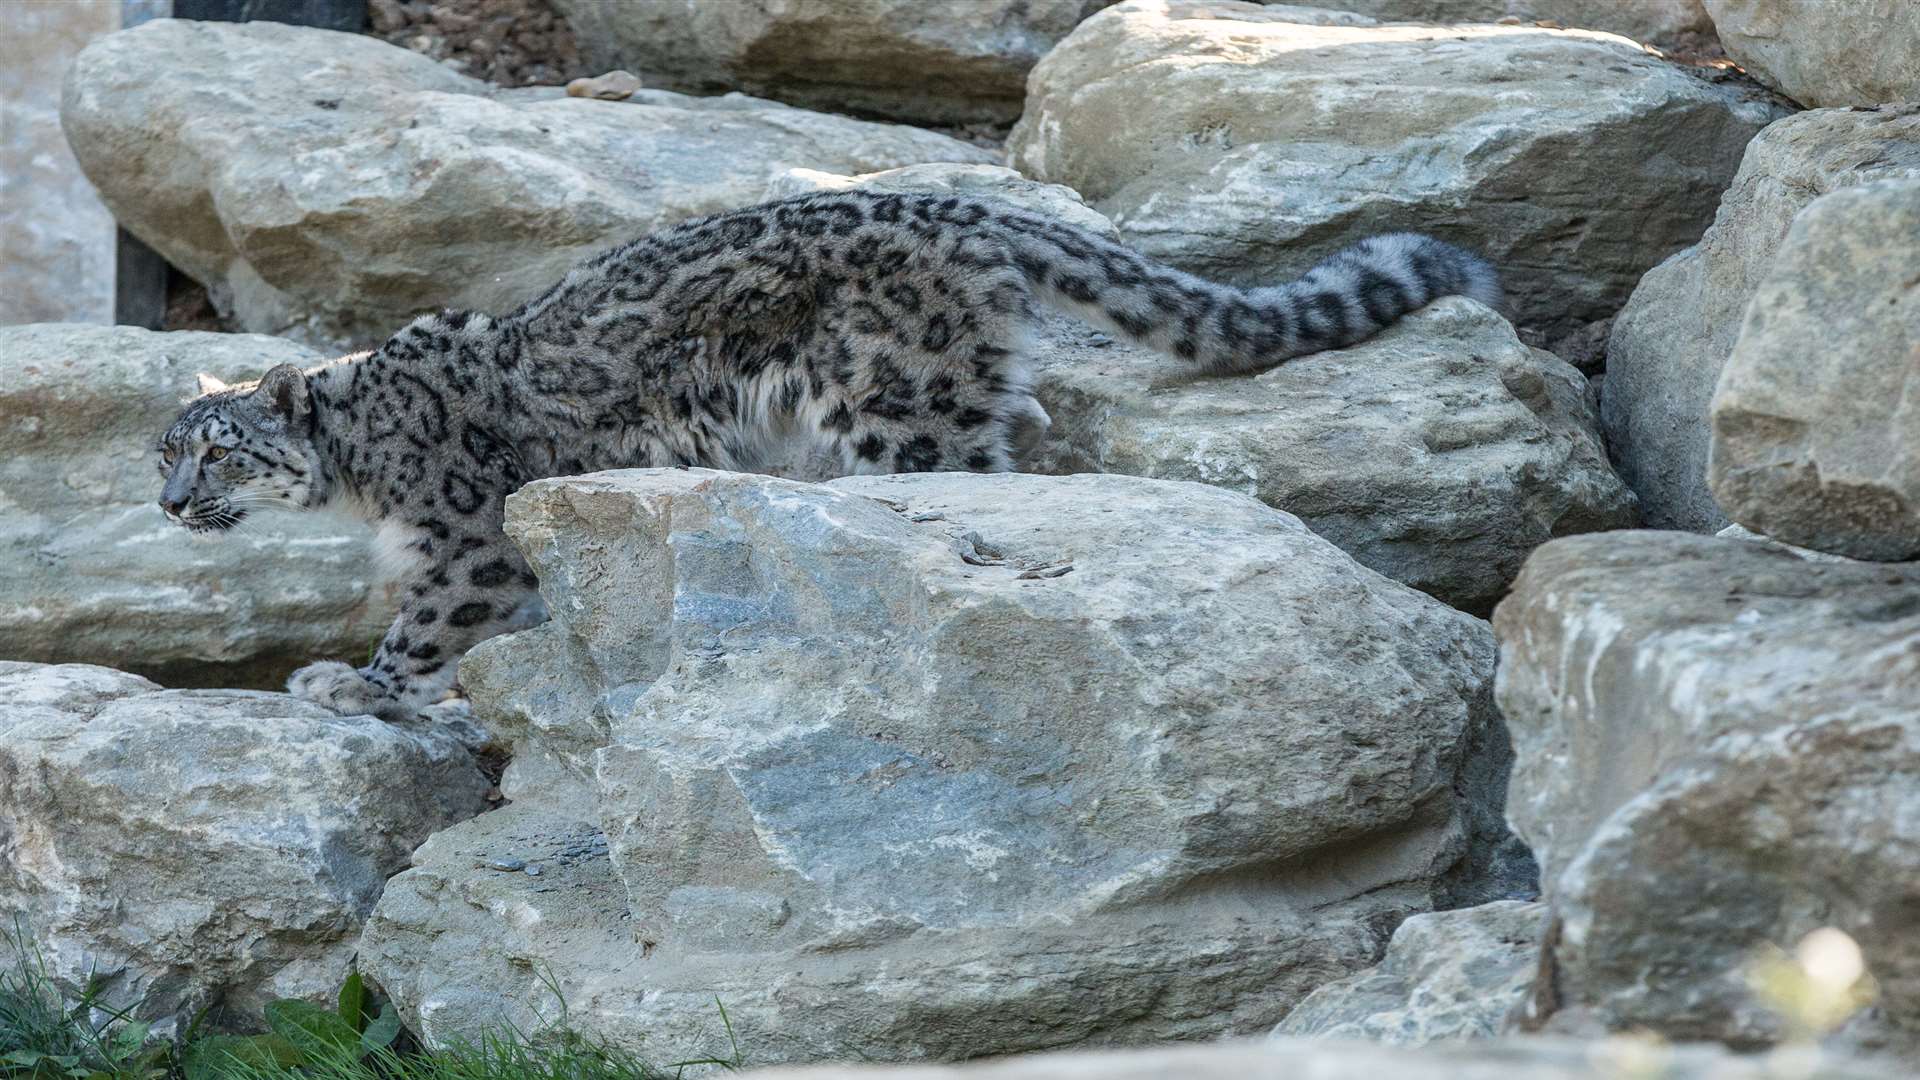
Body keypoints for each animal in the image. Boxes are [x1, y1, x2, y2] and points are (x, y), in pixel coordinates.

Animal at [153, 189, 1497, 718]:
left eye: (216, 456)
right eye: (159, 456)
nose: (170, 506)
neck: (359, 471)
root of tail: (968, 207)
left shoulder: (469, 536)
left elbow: (431, 622)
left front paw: (356, 686)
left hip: (905, 411)